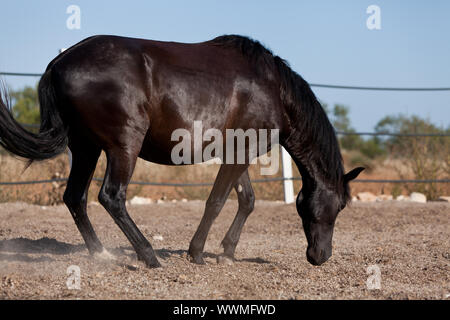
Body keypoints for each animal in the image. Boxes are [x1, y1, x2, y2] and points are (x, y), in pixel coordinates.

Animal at [0, 35, 362, 268]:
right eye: (341, 205)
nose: (320, 256)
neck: (273, 89)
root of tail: (58, 64)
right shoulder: (242, 150)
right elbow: (216, 201)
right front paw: (197, 253)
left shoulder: (236, 151)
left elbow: (246, 200)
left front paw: (227, 252)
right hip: (123, 146)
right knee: (111, 197)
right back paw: (148, 256)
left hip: (86, 147)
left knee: (75, 197)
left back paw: (102, 255)